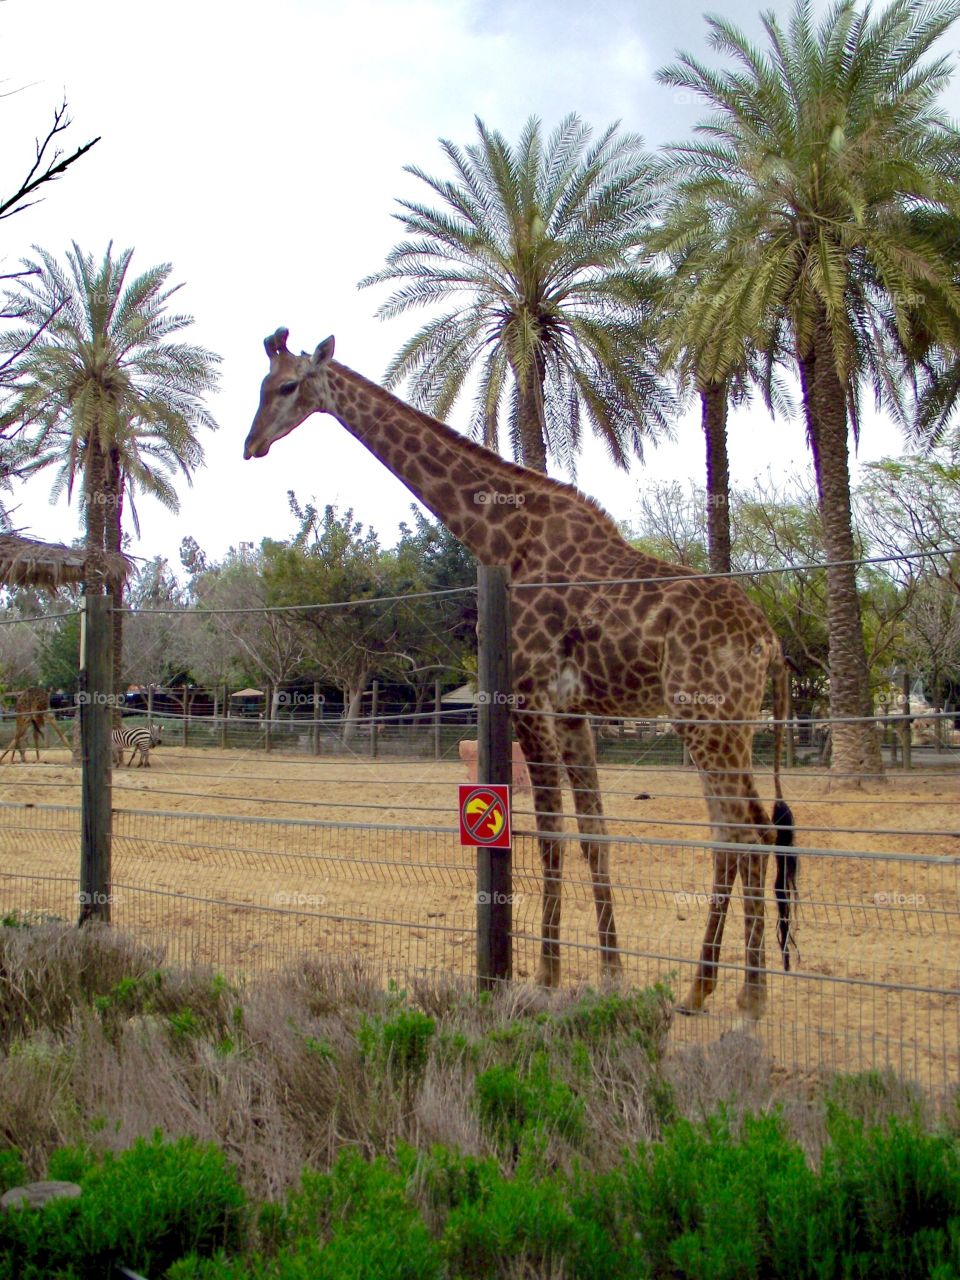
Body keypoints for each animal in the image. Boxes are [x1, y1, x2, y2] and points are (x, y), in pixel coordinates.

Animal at [243, 329, 797, 1017]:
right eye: (260, 387)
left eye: (287, 386)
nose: (251, 443)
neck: (500, 535)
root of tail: (770, 641)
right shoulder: (575, 709)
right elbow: (593, 835)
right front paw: (610, 975)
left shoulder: (529, 693)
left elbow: (550, 833)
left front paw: (546, 976)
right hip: (728, 726)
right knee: (742, 830)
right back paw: (702, 990)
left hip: (707, 720)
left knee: (747, 832)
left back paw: (748, 998)